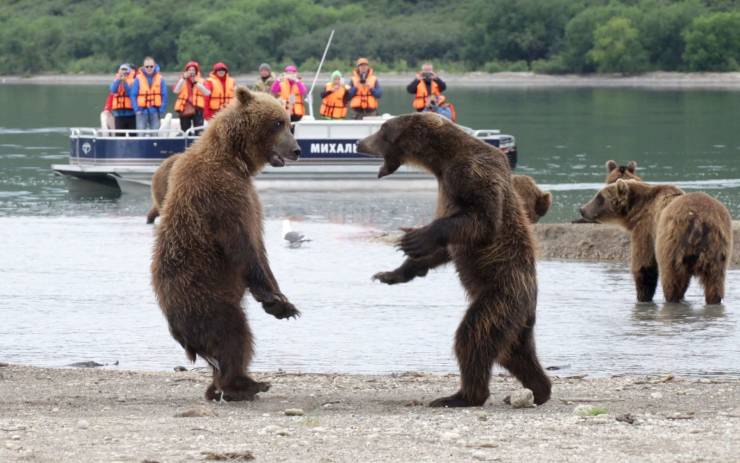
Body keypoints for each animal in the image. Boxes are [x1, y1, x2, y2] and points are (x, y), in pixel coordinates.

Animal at [150, 88, 300, 402]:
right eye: (278, 122)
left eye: (288, 121)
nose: (297, 150)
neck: (234, 159)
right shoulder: (223, 196)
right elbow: (243, 247)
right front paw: (279, 302)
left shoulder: (249, 197)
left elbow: (260, 248)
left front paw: (279, 298)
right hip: (204, 296)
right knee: (234, 334)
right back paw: (243, 384)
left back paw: (219, 386)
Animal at [358, 113, 548, 410]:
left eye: (382, 130)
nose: (359, 142)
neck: (441, 160)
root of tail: (530, 302)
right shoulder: (446, 185)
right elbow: (446, 249)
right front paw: (392, 273)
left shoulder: (471, 174)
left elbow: (481, 220)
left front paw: (416, 237)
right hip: (517, 320)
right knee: (514, 352)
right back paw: (539, 390)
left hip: (500, 295)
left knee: (474, 336)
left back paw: (461, 396)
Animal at [580, 179, 732, 306]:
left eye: (599, 197)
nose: (582, 209)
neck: (637, 210)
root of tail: (698, 220)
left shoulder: (646, 228)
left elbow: (644, 265)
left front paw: (642, 298)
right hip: (716, 246)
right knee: (714, 281)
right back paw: (713, 301)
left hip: (673, 242)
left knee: (672, 277)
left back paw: (672, 300)